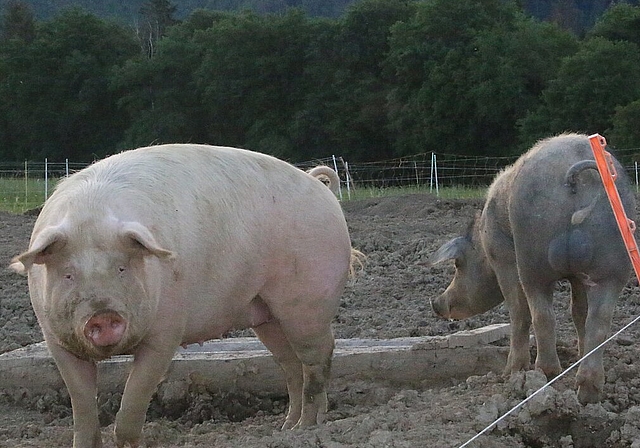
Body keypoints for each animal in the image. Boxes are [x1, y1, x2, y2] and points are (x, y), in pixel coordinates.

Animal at [10, 144, 362, 448]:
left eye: (122, 268)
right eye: (69, 274)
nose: (104, 314)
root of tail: (321, 188)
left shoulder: (166, 330)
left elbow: (134, 400)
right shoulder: (56, 339)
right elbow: (82, 408)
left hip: (308, 299)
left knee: (317, 357)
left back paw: (309, 428)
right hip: (265, 312)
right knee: (290, 364)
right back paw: (287, 428)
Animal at [430, 132, 636, 402]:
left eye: (457, 263)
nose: (435, 303)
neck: (482, 243)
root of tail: (573, 177)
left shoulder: (502, 258)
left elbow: (519, 312)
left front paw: (509, 374)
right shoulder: (579, 276)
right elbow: (578, 312)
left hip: (532, 258)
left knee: (541, 315)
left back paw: (543, 375)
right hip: (613, 265)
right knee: (599, 320)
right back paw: (587, 393)